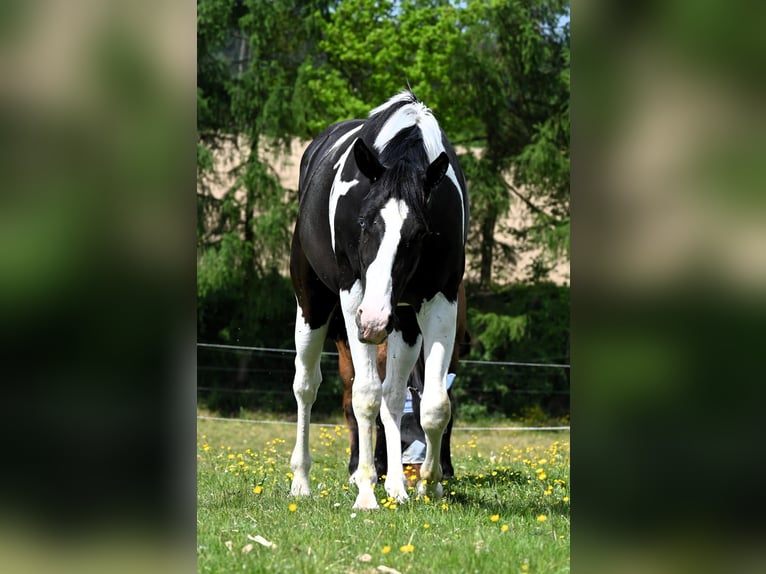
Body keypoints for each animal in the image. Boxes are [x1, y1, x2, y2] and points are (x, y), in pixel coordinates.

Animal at [339, 281, 469, 482]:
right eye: (402, 441)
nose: (417, 474)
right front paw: (380, 466)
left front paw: (447, 469)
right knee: (351, 408)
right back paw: (355, 467)